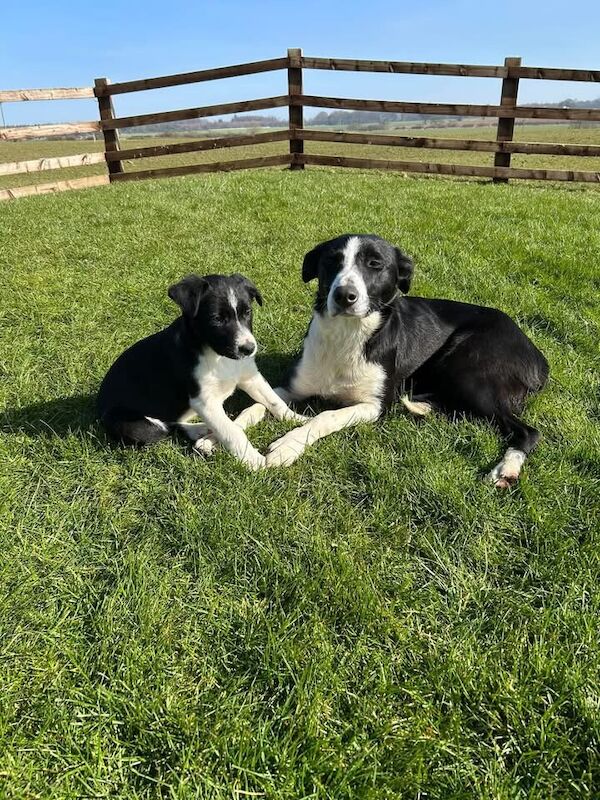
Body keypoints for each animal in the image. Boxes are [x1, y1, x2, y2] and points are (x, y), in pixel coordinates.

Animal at [99, 274, 308, 468]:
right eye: (217, 319)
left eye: (247, 312)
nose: (248, 349)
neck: (218, 357)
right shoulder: (204, 400)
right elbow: (232, 431)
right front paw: (253, 460)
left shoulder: (250, 376)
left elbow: (274, 400)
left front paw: (298, 420)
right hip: (129, 424)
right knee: (165, 428)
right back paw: (201, 429)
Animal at [226, 236, 548, 488]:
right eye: (332, 261)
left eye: (375, 264)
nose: (344, 295)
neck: (348, 335)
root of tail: (535, 351)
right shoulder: (292, 388)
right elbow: (259, 403)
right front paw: (226, 431)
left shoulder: (374, 406)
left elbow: (325, 416)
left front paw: (288, 445)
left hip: (465, 370)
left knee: (528, 431)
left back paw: (507, 469)